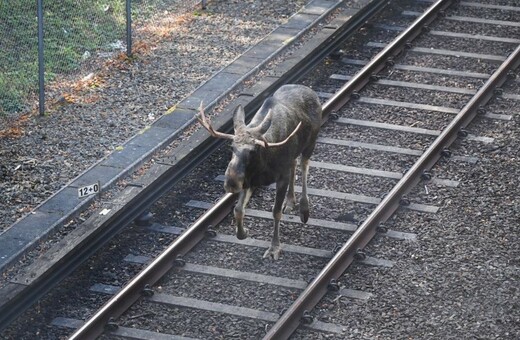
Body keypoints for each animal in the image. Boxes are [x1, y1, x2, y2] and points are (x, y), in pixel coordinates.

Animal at [197, 85, 322, 260]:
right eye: (231, 147)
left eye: (253, 151)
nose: (231, 182)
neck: (263, 165)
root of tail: (311, 92)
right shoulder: (248, 181)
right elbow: (238, 210)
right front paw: (242, 233)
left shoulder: (281, 177)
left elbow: (276, 212)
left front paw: (274, 248)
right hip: (293, 155)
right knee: (294, 164)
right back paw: (290, 202)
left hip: (310, 143)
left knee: (304, 166)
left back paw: (304, 209)